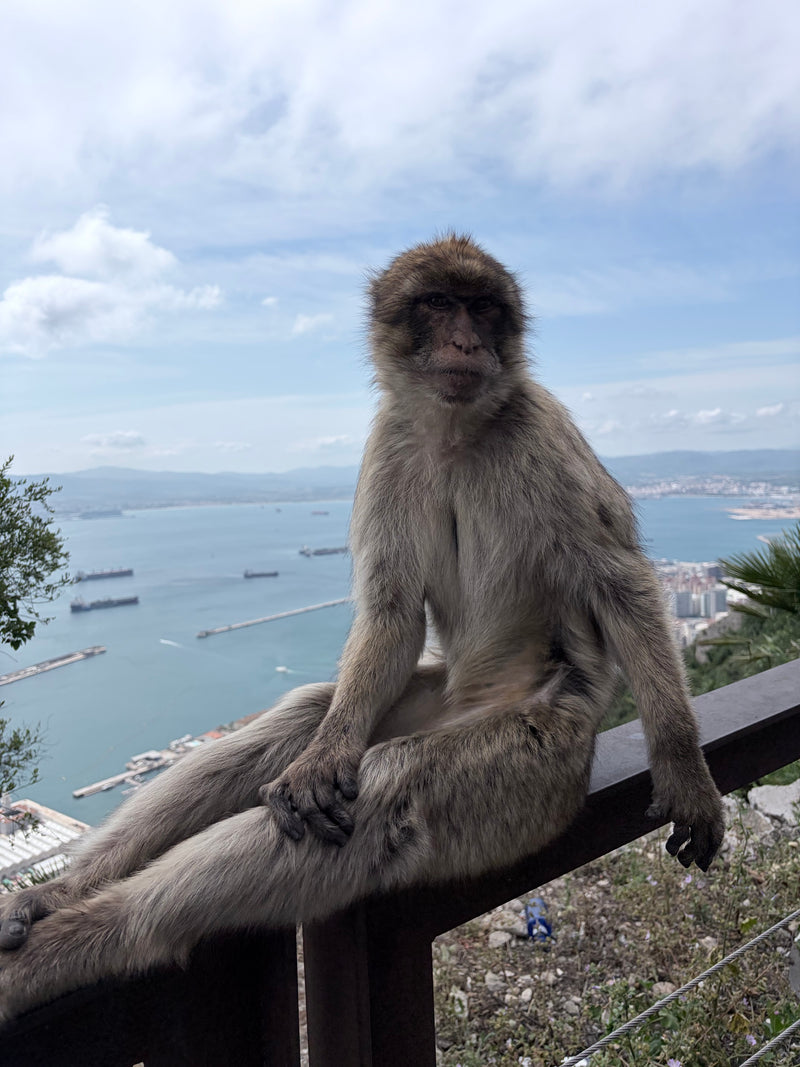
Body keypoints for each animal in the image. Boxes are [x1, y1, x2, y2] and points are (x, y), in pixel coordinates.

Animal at [0, 235, 723, 1024]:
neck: (455, 431)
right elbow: (391, 613)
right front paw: (321, 755)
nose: (466, 339)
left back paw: (83, 939)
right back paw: (60, 894)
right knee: (305, 720)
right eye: (437, 304)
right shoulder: (391, 442)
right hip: (428, 700)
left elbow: (620, 584)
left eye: (481, 307)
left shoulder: (543, 433)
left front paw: (683, 764)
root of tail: (478, 703)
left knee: (392, 785)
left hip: (531, 757)